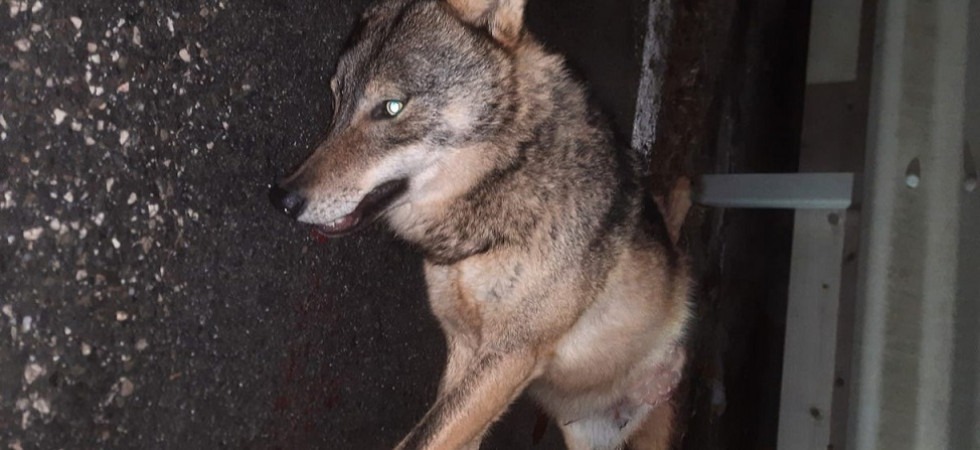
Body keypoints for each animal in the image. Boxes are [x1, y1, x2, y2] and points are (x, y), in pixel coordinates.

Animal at [269, 0, 692, 448]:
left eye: (391, 107)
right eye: (336, 99)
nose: (283, 198)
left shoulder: (511, 354)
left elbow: (423, 439)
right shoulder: (466, 346)